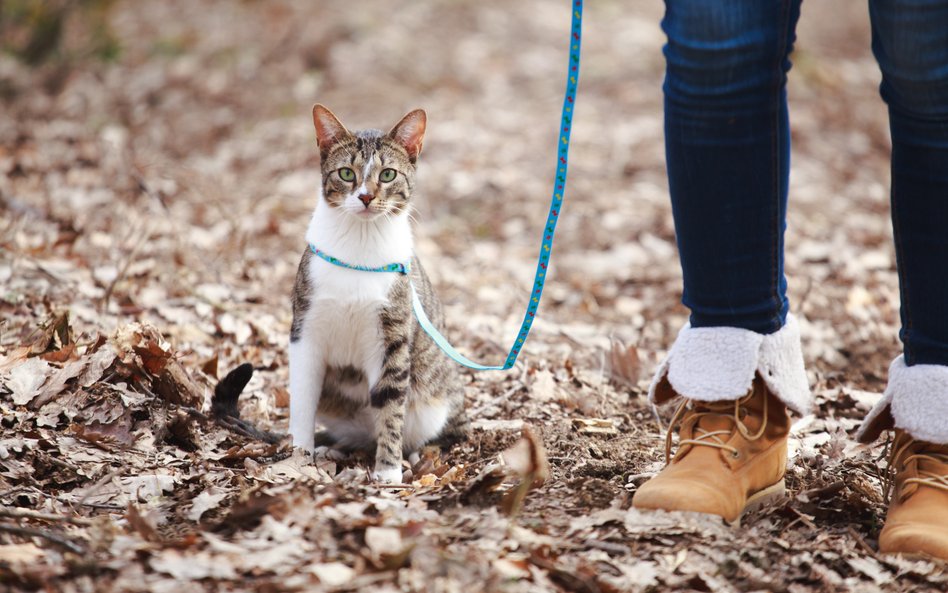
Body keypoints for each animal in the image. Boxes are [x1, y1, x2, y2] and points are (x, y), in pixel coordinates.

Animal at [286, 103, 468, 480]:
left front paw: (387, 472)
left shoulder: (391, 337)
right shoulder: (305, 330)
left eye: (387, 175)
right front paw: (298, 456)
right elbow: (302, 397)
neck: (360, 243)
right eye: (345, 173)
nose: (366, 196)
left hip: (435, 405)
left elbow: (389, 405)